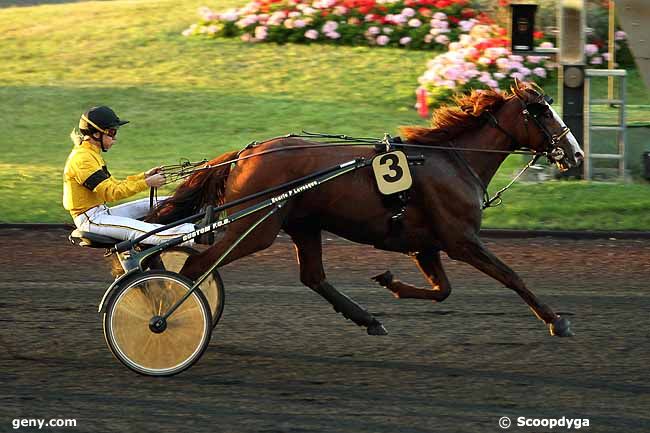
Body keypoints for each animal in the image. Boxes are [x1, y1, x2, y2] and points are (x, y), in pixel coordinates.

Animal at [148, 80, 584, 338]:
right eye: (542, 111)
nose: (576, 154)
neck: (453, 160)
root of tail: (246, 153)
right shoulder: (461, 240)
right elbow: (511, 276)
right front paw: (557, 320)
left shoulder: (426, 245)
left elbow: (442, 290)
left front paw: (390, 282)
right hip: (257, 226)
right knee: (196, 266)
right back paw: (167, 314)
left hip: (302, 223)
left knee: (313, 276)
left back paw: (368, 319)